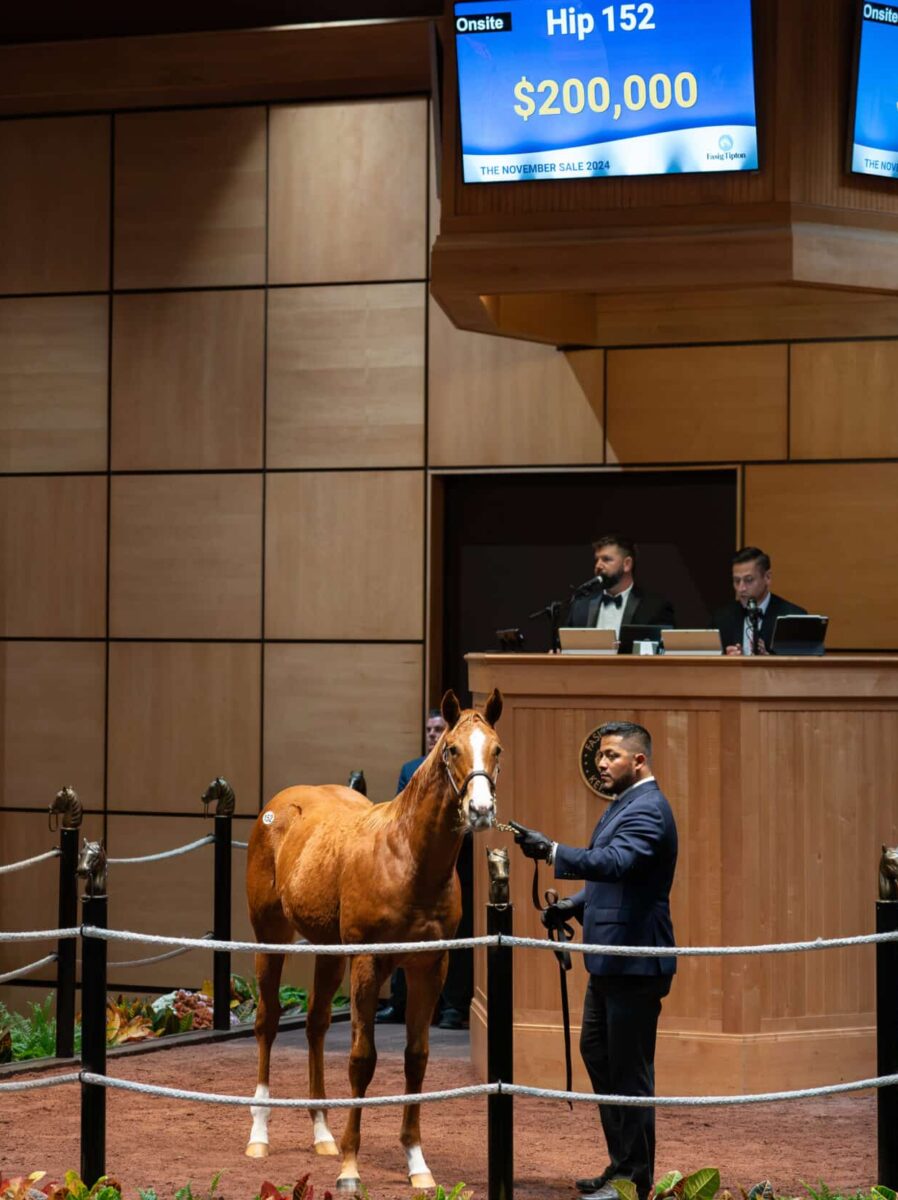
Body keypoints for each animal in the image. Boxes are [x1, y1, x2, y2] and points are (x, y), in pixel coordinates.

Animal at [242, 686, 501, 1190]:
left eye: (497, 749)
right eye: (451, 749)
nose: (480, 810)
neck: (407, 859)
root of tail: (279, 804)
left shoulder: (429, 966)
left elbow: (416, 1058)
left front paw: (417, 1164)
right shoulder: (368, 962)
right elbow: (362, 1058)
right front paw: (349, 1169)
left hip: (328, 951)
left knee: (316, 1024)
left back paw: (322, 1133)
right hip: (269, 937)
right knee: (267, 1022)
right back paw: (259, 1135)